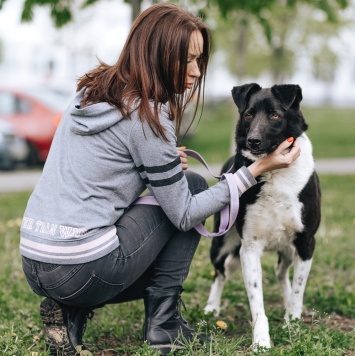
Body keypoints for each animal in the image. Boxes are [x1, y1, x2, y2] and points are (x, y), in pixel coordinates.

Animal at [203, 82, 322, 348]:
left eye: (275, 115)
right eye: (248, 114)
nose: (253, 141)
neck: (274, 174)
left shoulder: (306, 242)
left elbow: (298, 290)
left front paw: (293, 325)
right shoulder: (249, 247)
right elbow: (256, 301)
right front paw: (261, 341)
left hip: (288, 249)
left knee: (282, 272)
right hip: (222, 244)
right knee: (220, 272)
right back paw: (212, 307)